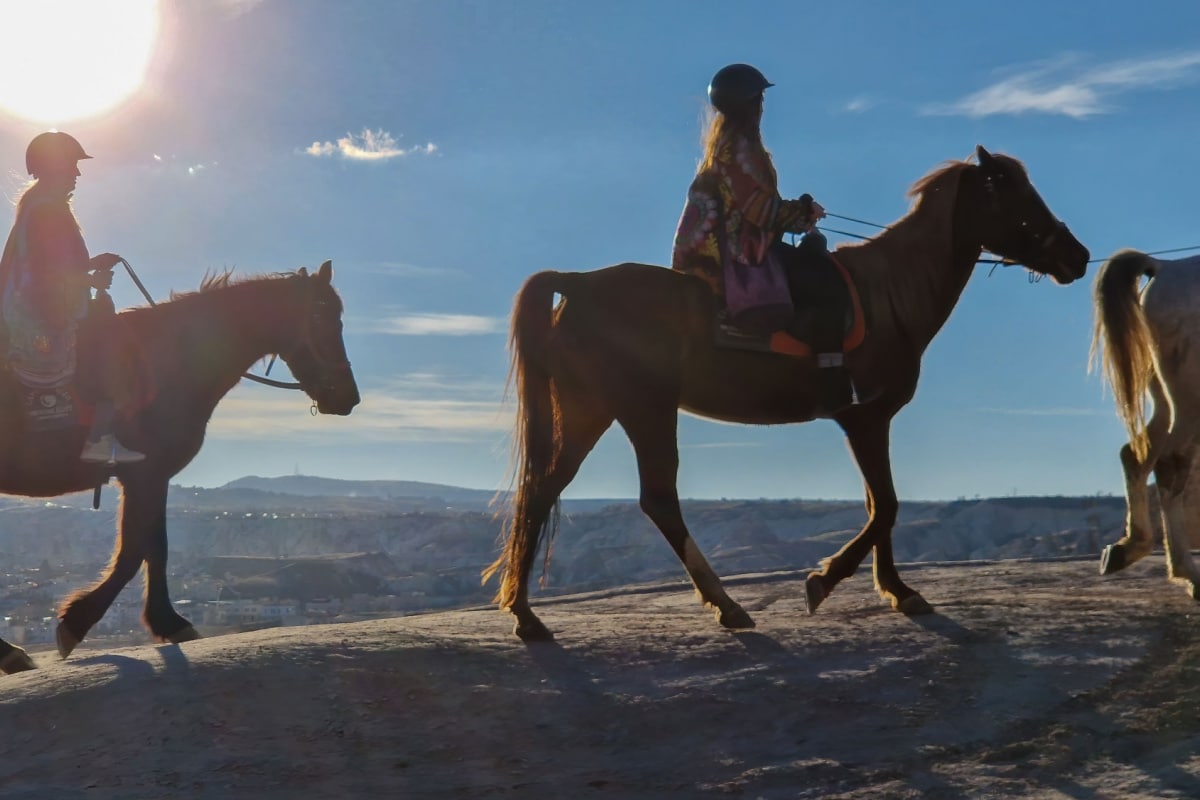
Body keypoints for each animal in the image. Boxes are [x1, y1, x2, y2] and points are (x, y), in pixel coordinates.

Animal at [482, 146, 1094, 642]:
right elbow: (887, 504)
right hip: (644, 411)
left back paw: (527, 616)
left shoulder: (869, 421)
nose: (1079, 256)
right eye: (1015, 194)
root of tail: (577, 283)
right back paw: (723, 604)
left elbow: (880, 504)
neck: (890, 295)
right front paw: (825, 580)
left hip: (591, 409)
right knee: (655, 498)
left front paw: (898, 590)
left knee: (544, 487)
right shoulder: (865, 417)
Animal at [1094, 247, 1200, 597]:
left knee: (1136, 454)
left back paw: (1129, 548)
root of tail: (1165, 267)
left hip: (1166, 402)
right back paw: (1188, 574)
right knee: (1170, 463)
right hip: (1189, 402)